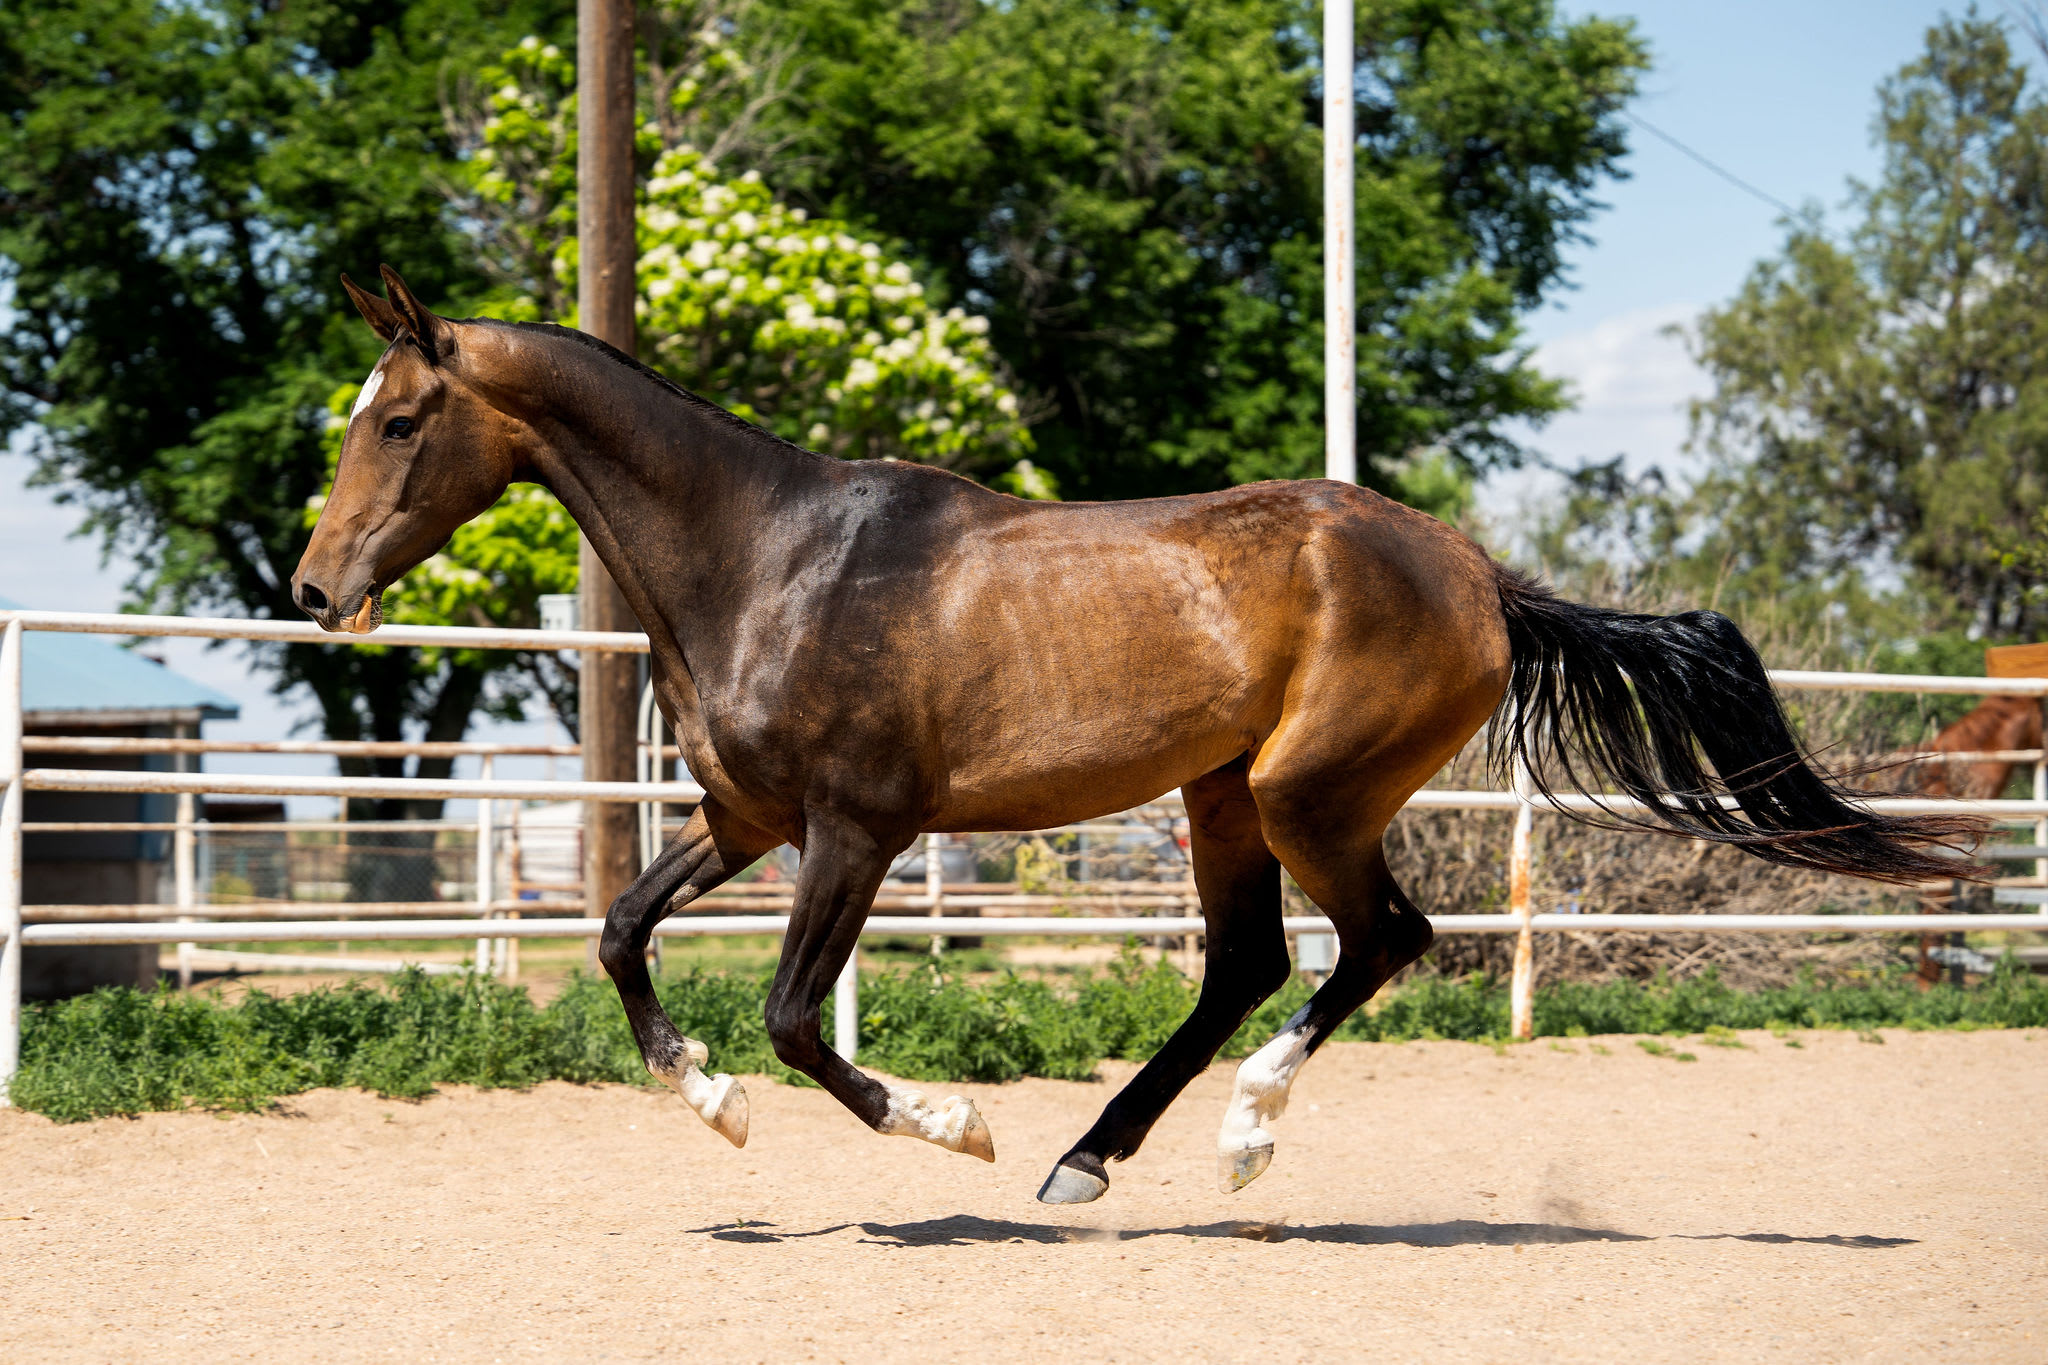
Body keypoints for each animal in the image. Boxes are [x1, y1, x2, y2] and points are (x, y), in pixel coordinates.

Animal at [294, 267, 1973, 1205]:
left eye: (399, 421)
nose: (313, 588)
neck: (771, 557)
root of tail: (1478, 573)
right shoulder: (745, 820)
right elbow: (622, 935)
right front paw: (713, 1108)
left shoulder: (858, 830)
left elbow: (790, 1015)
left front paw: (952, 1126)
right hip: (1223, 797)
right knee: (1251, 961)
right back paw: (1088, 1159)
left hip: (1308, 791)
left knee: (1378, 940)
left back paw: (1235, 1138)